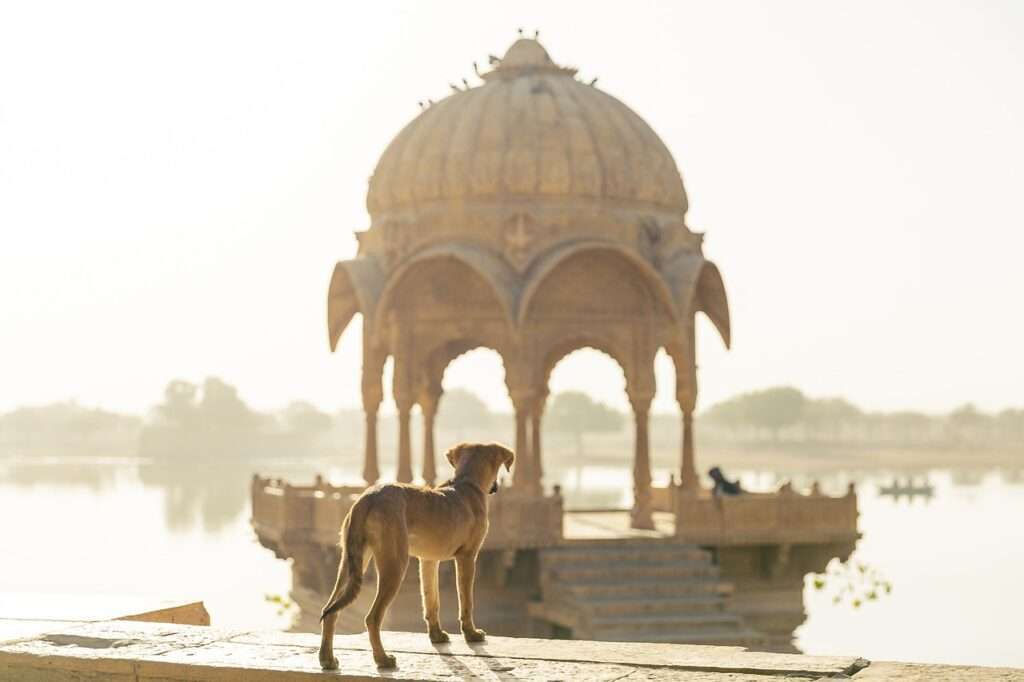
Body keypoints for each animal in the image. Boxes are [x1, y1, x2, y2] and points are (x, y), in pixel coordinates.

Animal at [317, 438, 516, 667]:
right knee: (372, 617)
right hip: (394, 564)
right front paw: (471, 634)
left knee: (330, 610)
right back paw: (382, 659)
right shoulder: (467, 557)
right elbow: (466, 601)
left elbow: (431, 601)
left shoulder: (428, 560)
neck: (466, 483)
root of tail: (368, 498)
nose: (495, 487)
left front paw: (436, 635)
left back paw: (327, 659)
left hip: (350, 563)